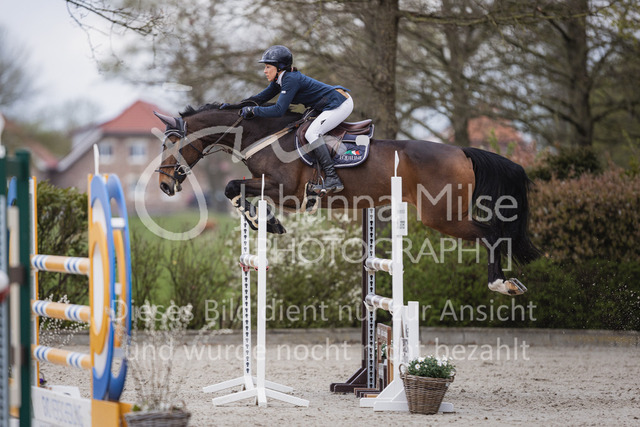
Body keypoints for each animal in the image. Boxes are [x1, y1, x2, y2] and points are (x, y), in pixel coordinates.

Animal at [153, 102, 541, 296]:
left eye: (171, 143)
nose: (164, 186)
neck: (263, 135)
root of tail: (461, 151)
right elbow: (233, 189)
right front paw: (264, 221)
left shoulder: (286, 192)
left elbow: (232, 186)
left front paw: (266, 221)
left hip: (442, 217)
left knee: (491, 233)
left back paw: (502, 283)